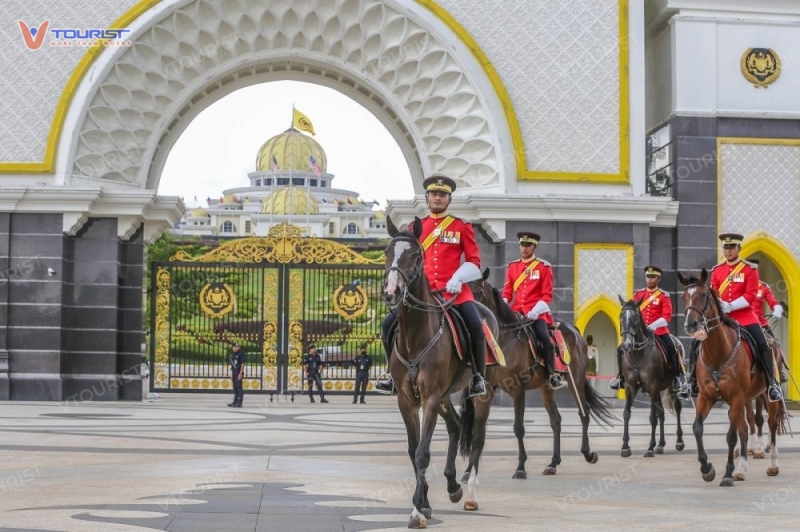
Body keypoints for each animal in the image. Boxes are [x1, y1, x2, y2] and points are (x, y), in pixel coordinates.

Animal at [382, 216, 496, 528]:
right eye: (387, 252)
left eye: (414, 255)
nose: (391, 292)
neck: (415, 335)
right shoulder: (407, 400)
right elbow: (413, 451)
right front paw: (424, 503)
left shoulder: (430, 397)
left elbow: (423, 452)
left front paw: (417, 512)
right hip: (446, 396)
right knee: (456, 426)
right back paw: (453, 485)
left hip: (481, 392)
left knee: (478, 437)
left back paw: (470, 493)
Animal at [466, 270, 616, 478]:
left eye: (478, 292)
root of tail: (574, 331)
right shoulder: (487, 389)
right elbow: (477, 431)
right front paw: (468, 471)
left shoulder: (517, 389)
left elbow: (518, 428)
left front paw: (521, 467)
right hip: (547, 388)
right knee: (556, 420)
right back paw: (553, 463)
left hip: (575, 380)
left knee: (584, 412)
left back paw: (588, 453)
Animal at [616, 300, 684, 458]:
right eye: (621, 317)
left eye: (635, 319)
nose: (627, 345)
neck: (638, 354)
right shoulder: (630, 387)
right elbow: (627, 413)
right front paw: (625, 446)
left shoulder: (653, 386)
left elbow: (652, 418)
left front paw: (650, 447)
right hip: (659, 390)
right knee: (662, 413)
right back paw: (661, 445)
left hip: (670, 387)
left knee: (677, 407)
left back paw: (678, 441)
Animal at [680, 270, 784, 486]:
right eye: (683, 297)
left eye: (704, 295)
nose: (691, 324)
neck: (718, 351)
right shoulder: (706, 397)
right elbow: (697, 428)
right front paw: (707, 468)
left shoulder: (736, 397)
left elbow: (730, 436)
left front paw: (727, 473)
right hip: (744, 399)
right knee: (745, 427)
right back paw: (742, 469)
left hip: (766, 395)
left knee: (770, 424)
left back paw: (772, 464)